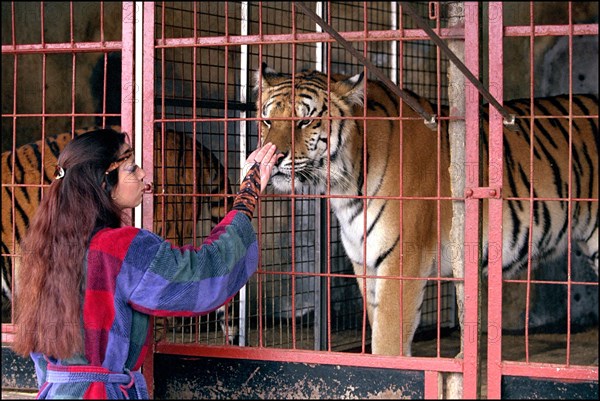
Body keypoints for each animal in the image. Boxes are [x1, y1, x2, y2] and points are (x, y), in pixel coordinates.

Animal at [255, 63, 596, 356]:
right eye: (267, 120)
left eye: (304, 121)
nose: (271, 158)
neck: (345, 184)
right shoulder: (365, 262)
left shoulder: (402, 257)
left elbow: (387, 342)